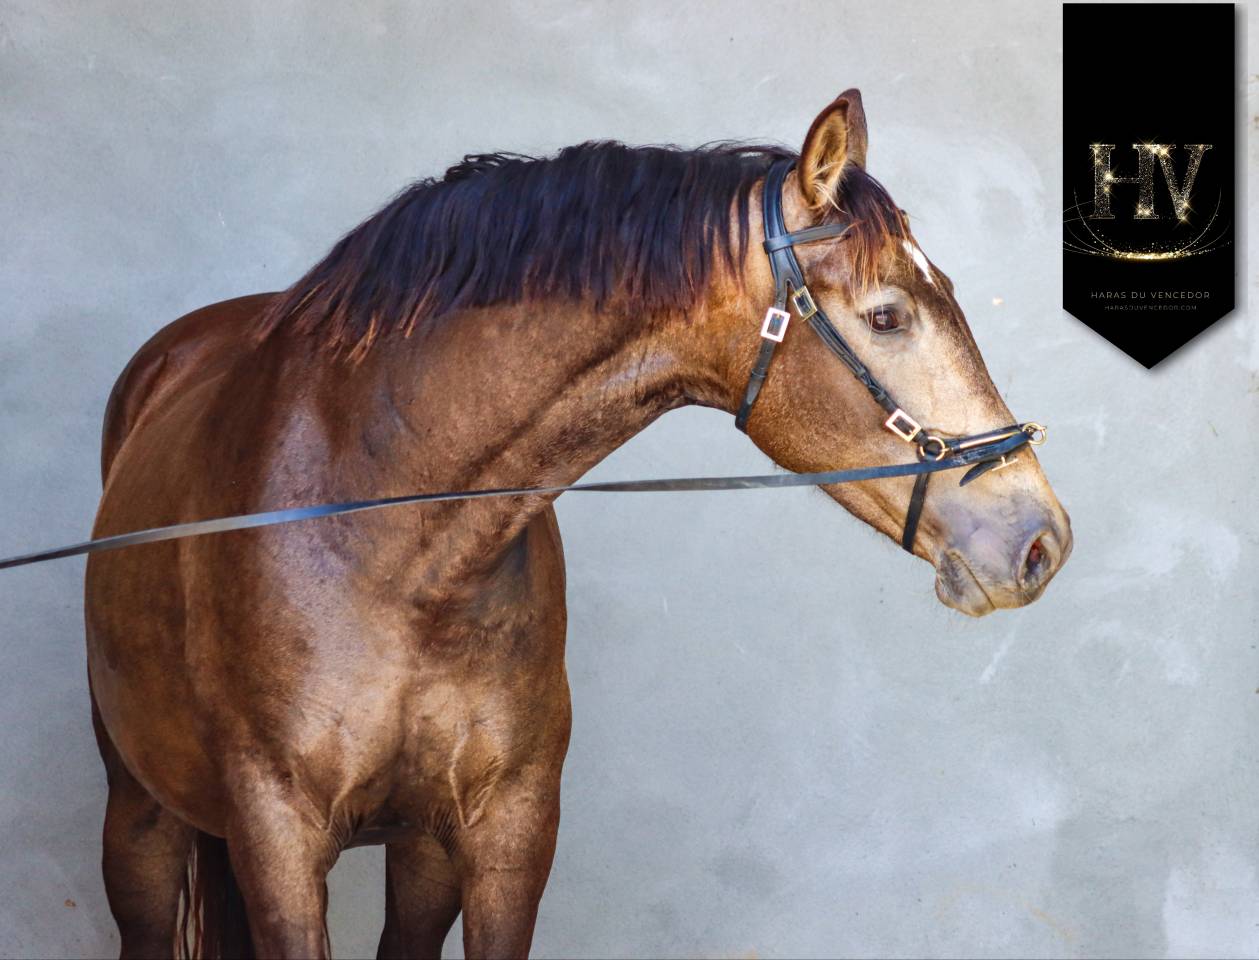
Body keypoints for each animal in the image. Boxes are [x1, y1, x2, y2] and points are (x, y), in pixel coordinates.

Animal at [85, 88, 1071, 958]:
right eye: (887, 315)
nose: (1040, 540)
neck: (392, 544)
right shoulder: (279, 837)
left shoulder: (500, 833)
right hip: (139, 813)